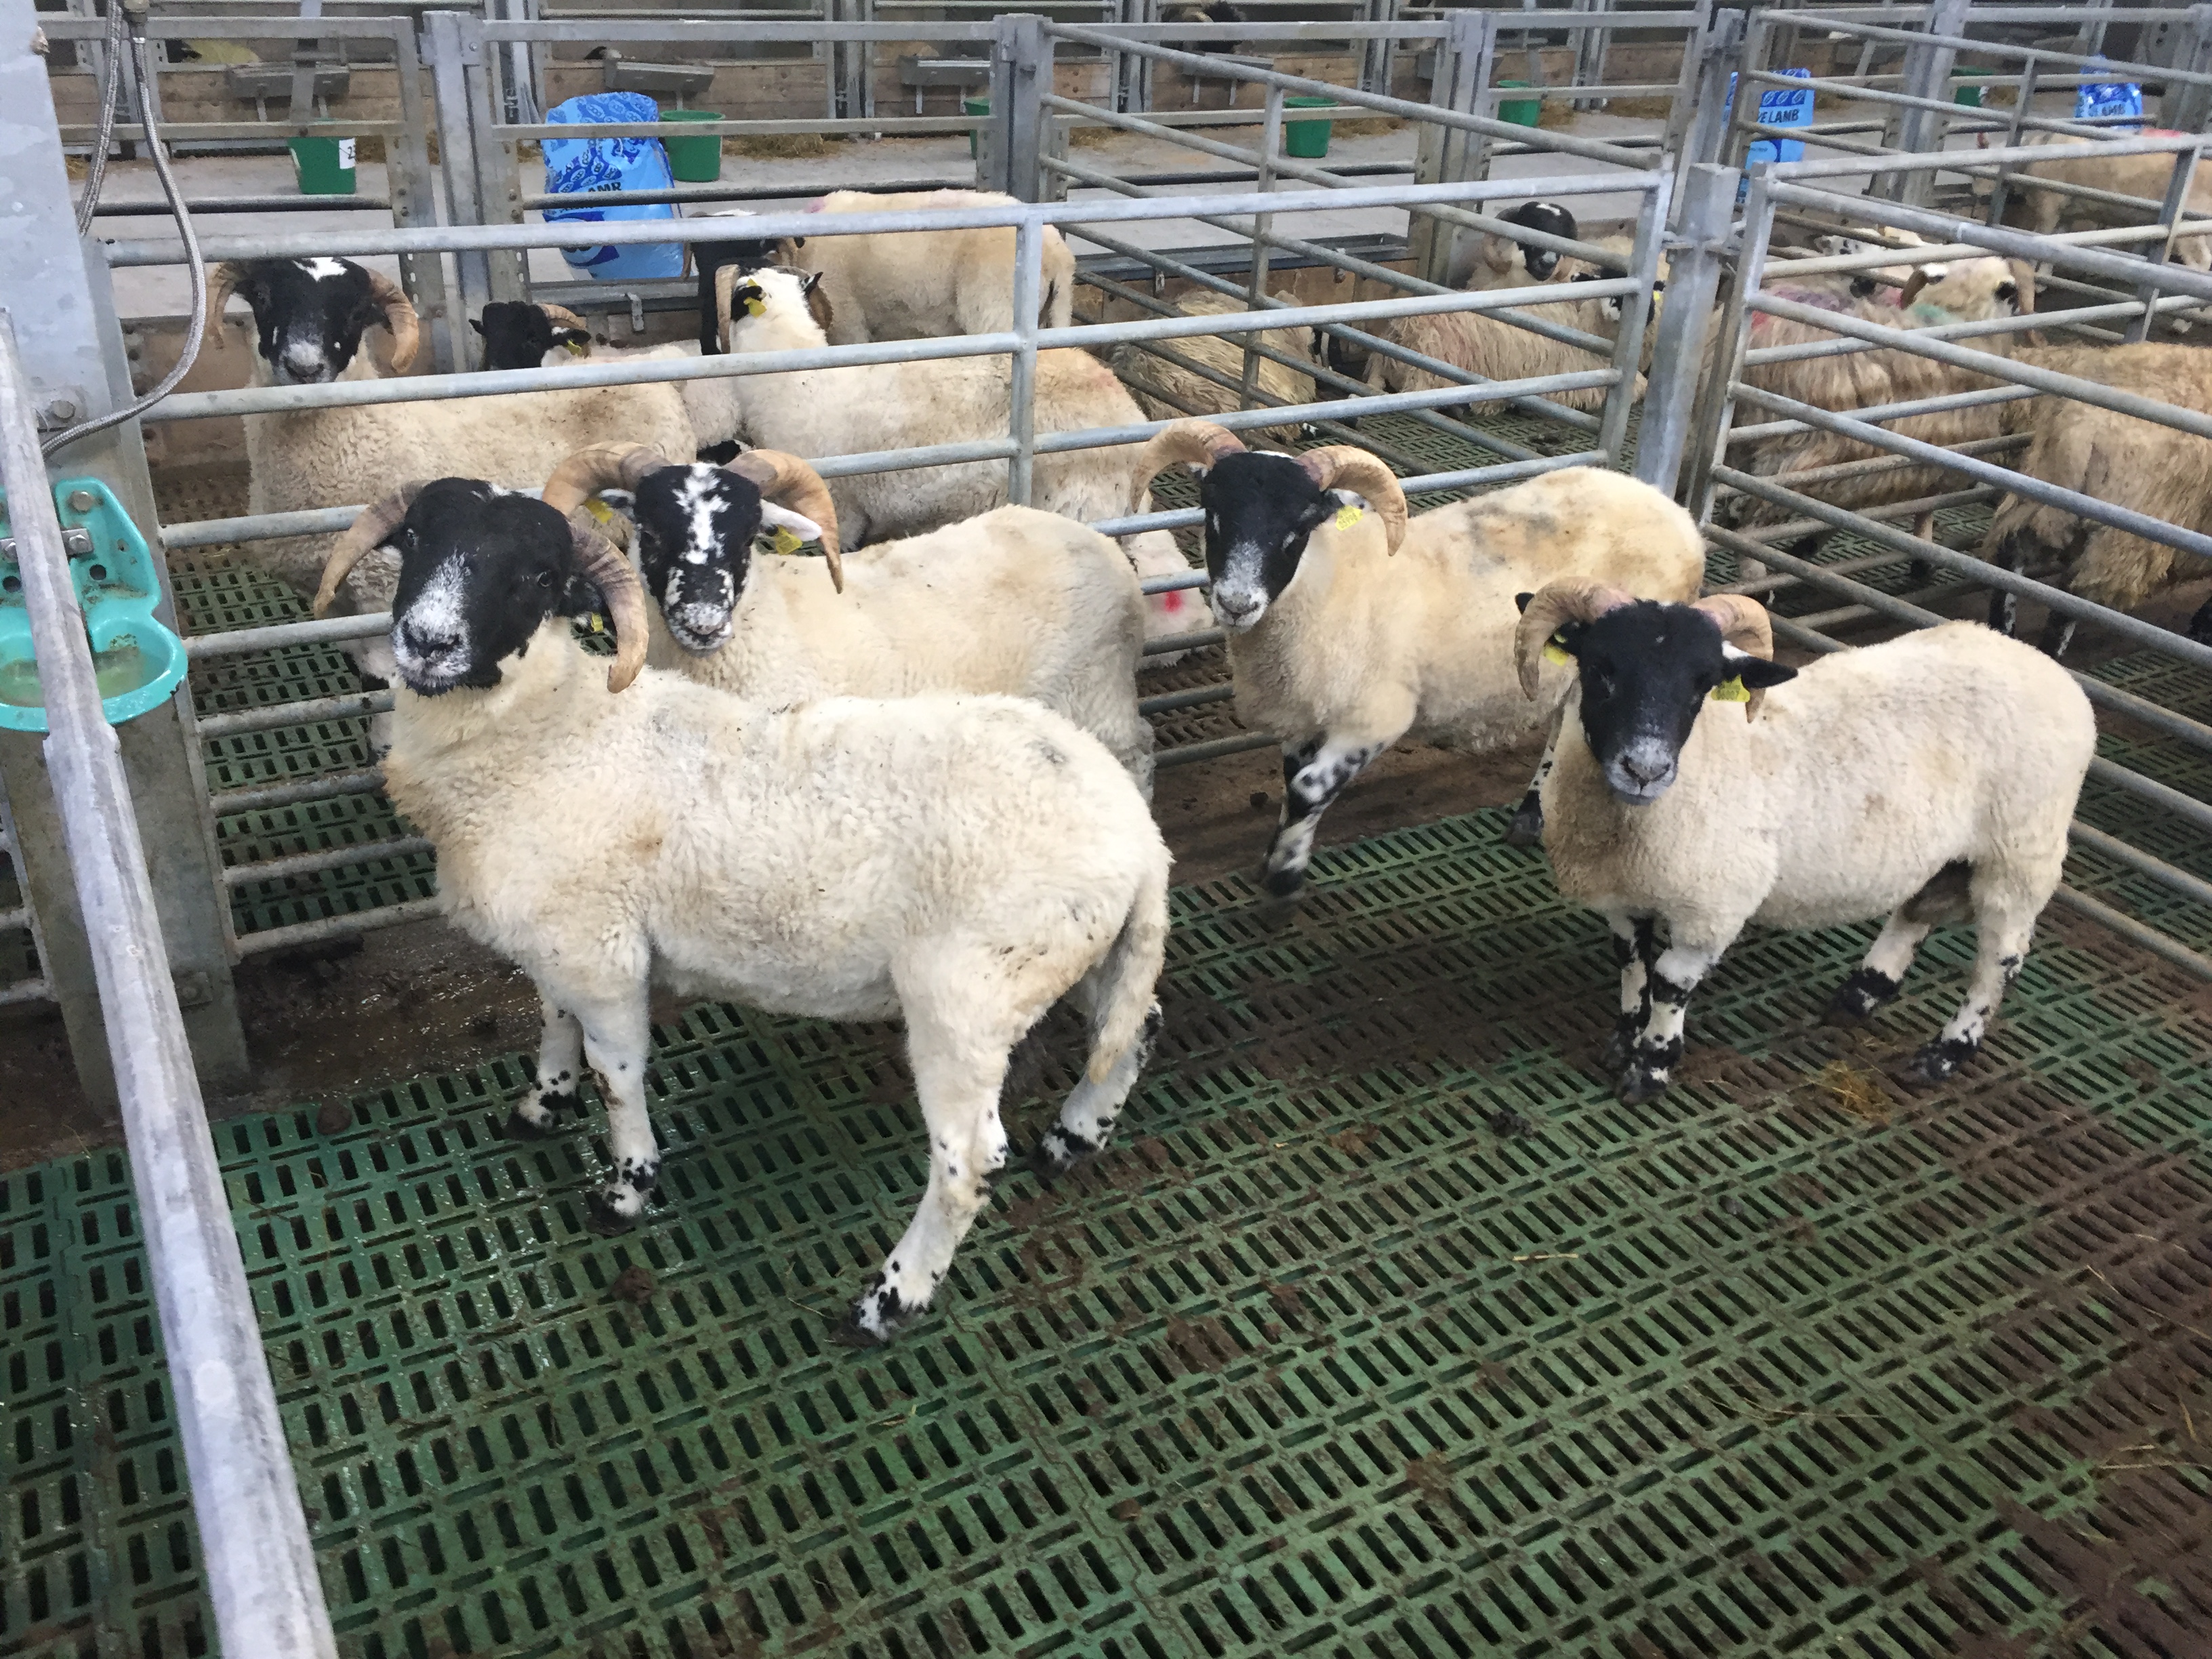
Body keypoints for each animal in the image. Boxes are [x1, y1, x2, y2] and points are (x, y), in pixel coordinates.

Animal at [311, 479, 1170, 1343]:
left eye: (538, 577)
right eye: (416, 538)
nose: (428, 642)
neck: (557, 736)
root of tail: (1140, 842)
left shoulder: (606, 956)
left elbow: (617, 1074)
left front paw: (626, 1188)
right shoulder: (563, 936)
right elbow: (552, 1021)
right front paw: (541, 1105)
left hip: (968, 1002)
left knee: (968, 1162)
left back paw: (889, 1300)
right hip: (1087, 957)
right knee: (1136, 1026)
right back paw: (1074, 1136)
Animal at [539, 440, 1156, 790]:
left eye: (748, 534)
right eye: (650, 529)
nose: (704, 620)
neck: (771, 619)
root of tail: (1100, 544)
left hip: (1094, 692)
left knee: (1140, 754)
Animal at [1134, 420, 1709, 899]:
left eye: (1296, 529)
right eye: (1213, 516)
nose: (1236, 604)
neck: (1328, 585)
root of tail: (1673, 511)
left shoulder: (1377, 716)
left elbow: (1307, 790)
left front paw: (1283, 878)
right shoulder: (1305, 713)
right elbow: (1292, 785)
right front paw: (1279, 853)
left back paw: (1537, 814)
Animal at [1516, 581, 2094, 1101]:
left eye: (1702, 684)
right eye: (1600, 668)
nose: (1645, 770)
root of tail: (2047, 669)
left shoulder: (1713, 909)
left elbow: (1668, 983)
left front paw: (1650, 1068)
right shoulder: (1623, 895)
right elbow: (1631, 962)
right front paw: (1623, 1039)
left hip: (2019, 852)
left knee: (2002, 960)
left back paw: (1944, 1054)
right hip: (1946, 854)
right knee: (1916, 911)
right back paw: (1861, 993)